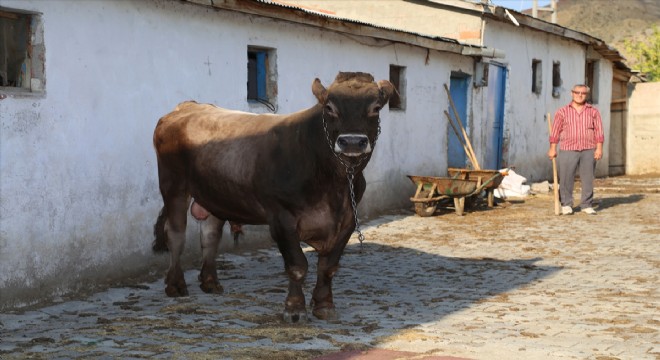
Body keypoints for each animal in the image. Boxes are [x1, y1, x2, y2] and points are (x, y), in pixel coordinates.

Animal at [152, 71, 394, 322]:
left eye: (376, 108)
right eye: (329, 107)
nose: (353, 142)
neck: (334, 183)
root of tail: (188, 106)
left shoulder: (347, 220)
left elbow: (328, 266)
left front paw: (324, 305)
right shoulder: (282, 217)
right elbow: (297, 265)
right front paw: (294, 309)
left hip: (213, 194)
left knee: (210, 235)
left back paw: (210, 283)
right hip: (173, 186)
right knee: (176, 234)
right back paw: (175, 285)